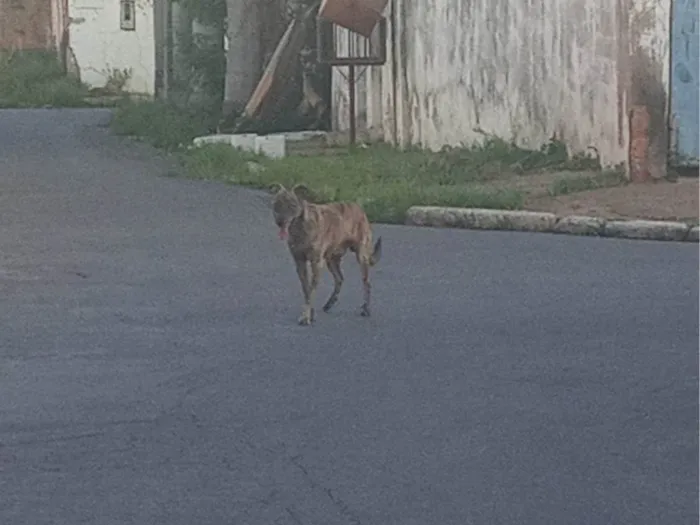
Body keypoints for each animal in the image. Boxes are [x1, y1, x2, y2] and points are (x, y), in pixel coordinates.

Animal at [270, 183, 380, 324]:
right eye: (276, 205)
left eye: (292, 205)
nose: (280, 222)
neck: (300, 228)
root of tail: (359, 209)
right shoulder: (300, 263)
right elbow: (307, 290)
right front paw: (310, 313)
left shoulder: (316, 263)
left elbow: (311, 291)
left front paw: (306, 317)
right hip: (331, 260)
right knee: (339, 279)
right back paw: (329, 303)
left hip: (361, 256)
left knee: (366, 283)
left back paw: (366, 309)